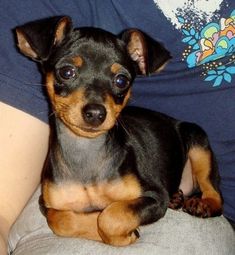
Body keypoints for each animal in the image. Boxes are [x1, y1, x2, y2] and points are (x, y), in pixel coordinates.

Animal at [16, 16, 222, 247]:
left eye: (121, 80)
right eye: (66, 72)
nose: (95, 113)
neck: (86, 153)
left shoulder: (155, 198)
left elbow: (109, 216)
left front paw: (123, 233)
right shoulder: (48, 205)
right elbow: (62, 221)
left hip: (198, 142)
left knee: (214, 191)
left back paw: (203, 203)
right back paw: (177, 197)